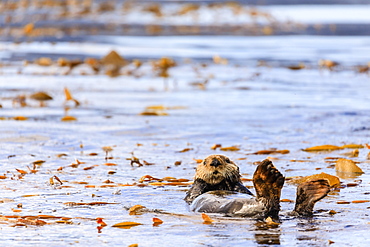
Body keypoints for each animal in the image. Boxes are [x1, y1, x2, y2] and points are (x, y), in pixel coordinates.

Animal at [186, 154, 330, 222]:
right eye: (204, 162)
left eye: (227, 160)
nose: (215, 162)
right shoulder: (192, 194)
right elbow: (194, 192)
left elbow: (240, 187)